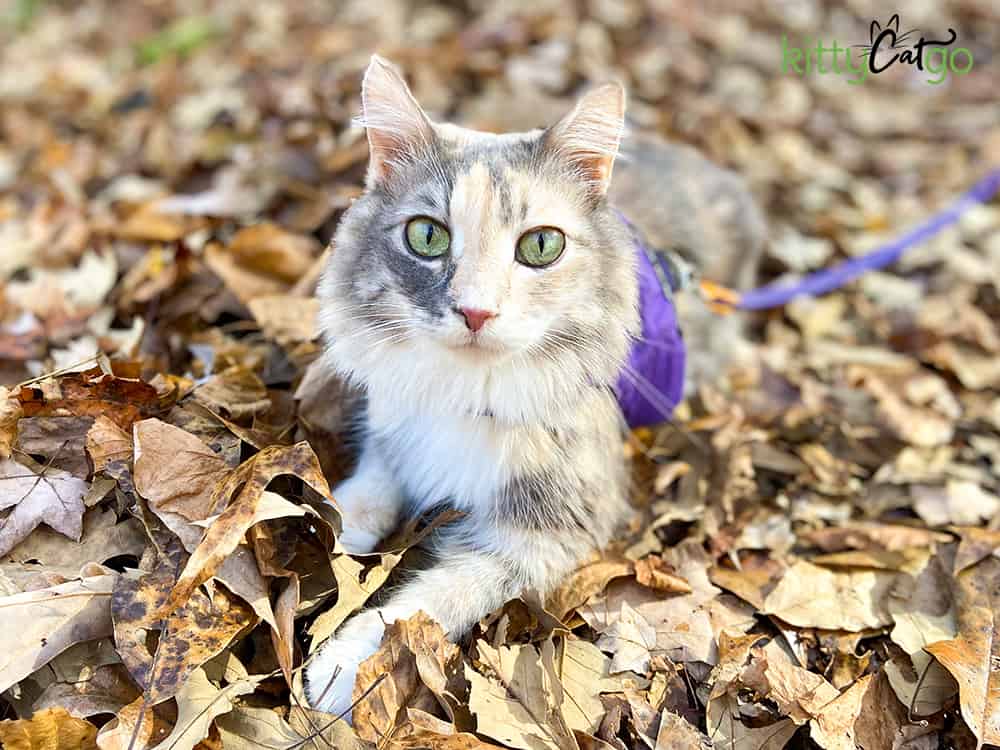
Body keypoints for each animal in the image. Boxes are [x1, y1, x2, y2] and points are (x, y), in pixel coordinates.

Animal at [304, 57, 764, 716]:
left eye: (541, 246)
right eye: (427, 237)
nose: (475, 312)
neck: (468, 391)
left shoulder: (544, 535)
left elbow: (422, 603)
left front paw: (343, 667)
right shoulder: (396, 433)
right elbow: (357, 501)